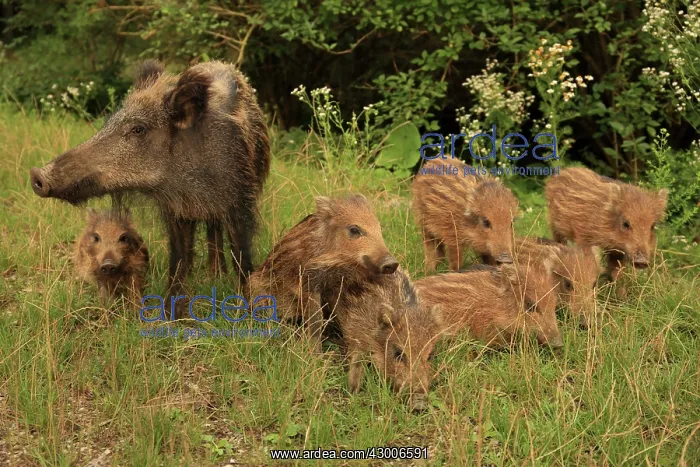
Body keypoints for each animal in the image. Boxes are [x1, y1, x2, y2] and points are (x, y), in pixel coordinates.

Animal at [29, 60, 271, 318]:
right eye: (109, 123)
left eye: (138, 129)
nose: (37, 175)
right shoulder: (174, 211)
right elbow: (179, 258)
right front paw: (168, 316)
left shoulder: (240, 201)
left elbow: (241, 255)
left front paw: (249, 312)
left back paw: (216, 277)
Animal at [247, 194, 399, 349]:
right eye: (354, 230)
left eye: (379, 228)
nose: (392, 263)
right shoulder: (307, 283)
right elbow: (316, 319)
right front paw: (315, 352)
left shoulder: (338, 289)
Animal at [330, 266, 442, 412]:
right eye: (398, 353)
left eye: (430, 355)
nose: (420, 404)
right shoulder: (356, 333)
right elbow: (357, 362)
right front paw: (353, 392)